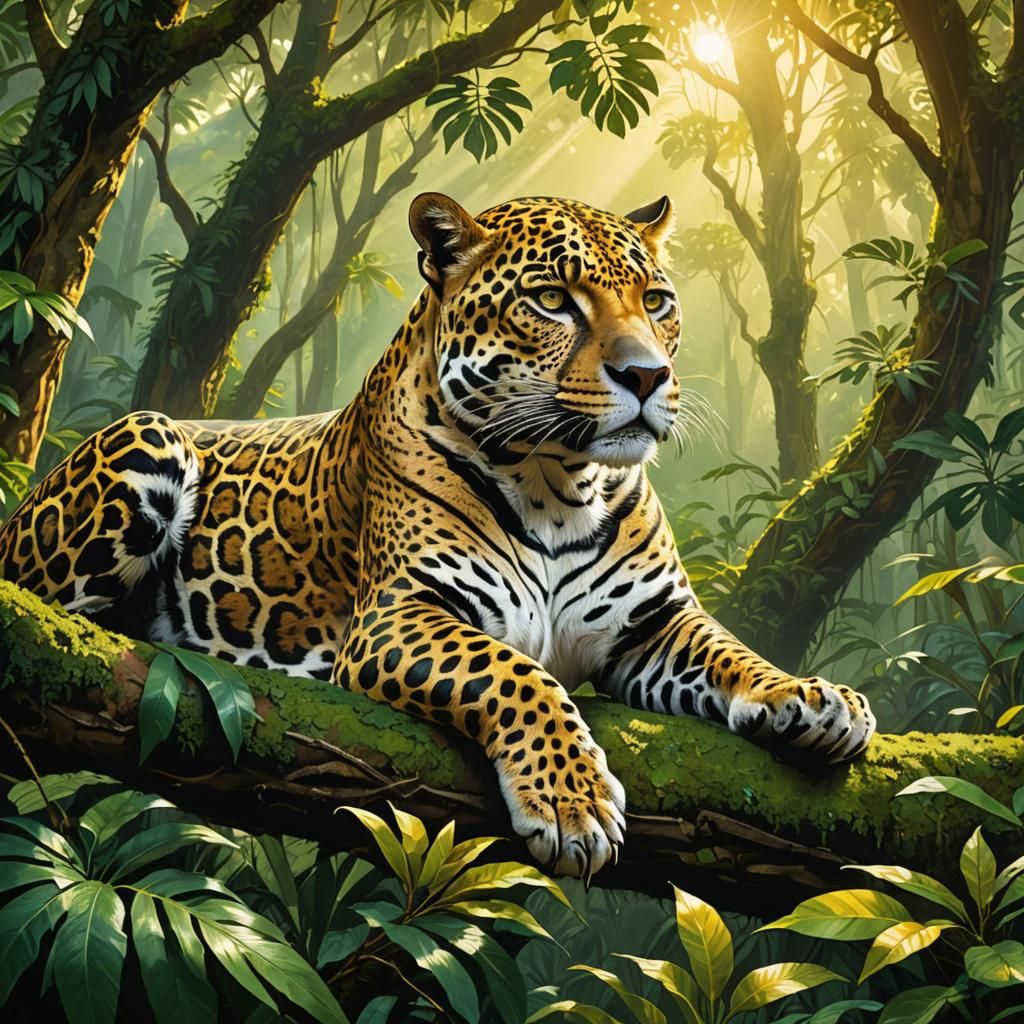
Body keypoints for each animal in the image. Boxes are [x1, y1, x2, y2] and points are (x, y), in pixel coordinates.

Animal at [0, 192, 876, 879]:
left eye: (656, 300)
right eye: (553, 299)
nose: (647, 375)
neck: (562, 482)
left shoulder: (653, 626)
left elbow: (731, 651)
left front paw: (813, 697)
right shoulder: (398, 615)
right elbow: (517, 673)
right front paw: (571, 801)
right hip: (145, 437)